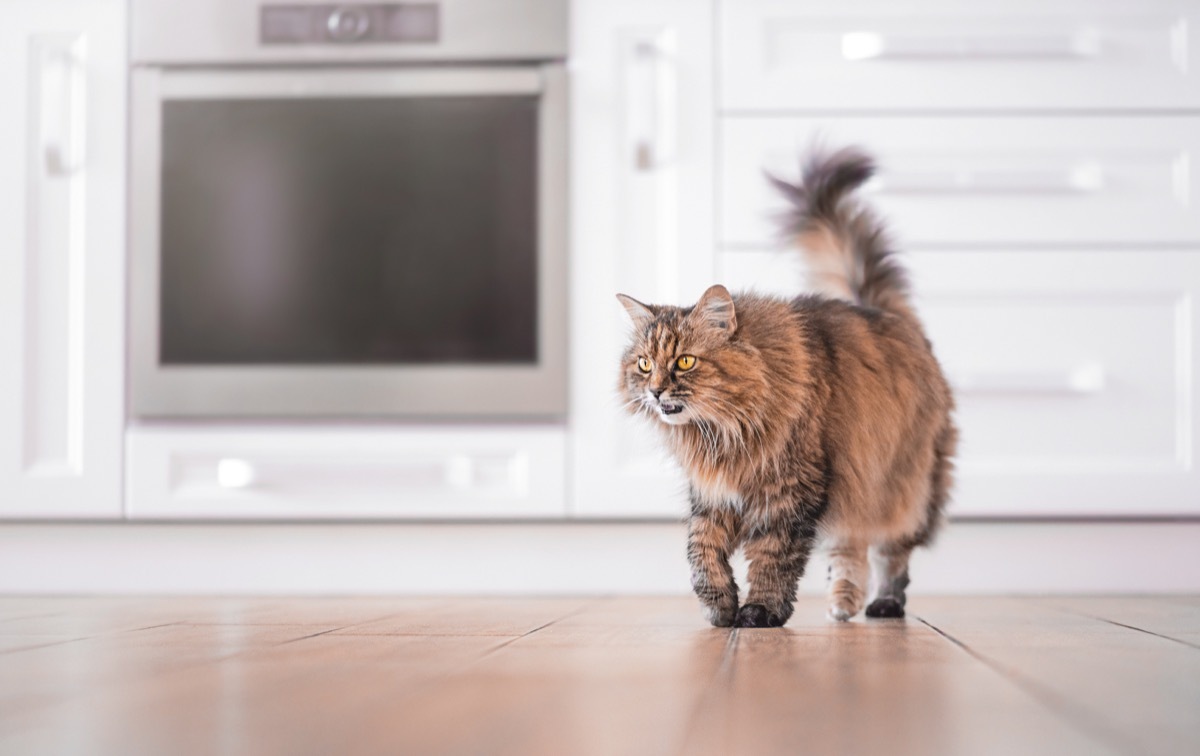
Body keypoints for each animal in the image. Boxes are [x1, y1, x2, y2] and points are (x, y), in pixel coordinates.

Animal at [619, 148, 955, 628]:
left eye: (684, 361)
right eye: (644, 365)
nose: (656, 392)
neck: (723, 431)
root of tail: (889, 316)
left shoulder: (791, 492)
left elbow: (771, 558)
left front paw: (759, 611)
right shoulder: (712, 495)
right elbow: (701, 551)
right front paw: (719, 606)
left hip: (902, 482)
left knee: (891, 552)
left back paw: (884, 605)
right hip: (854, 483)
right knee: (850, 548)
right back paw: (842, 605)